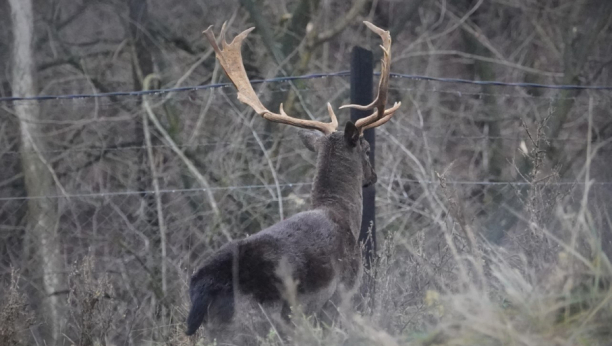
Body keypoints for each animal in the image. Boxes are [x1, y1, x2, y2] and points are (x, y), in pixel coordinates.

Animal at [186, 21, 402, 344]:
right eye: (366, 149)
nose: (373, 176)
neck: (343, 216)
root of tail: (205, 284)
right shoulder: (341, 293)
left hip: (213, 329)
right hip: (250, 322)